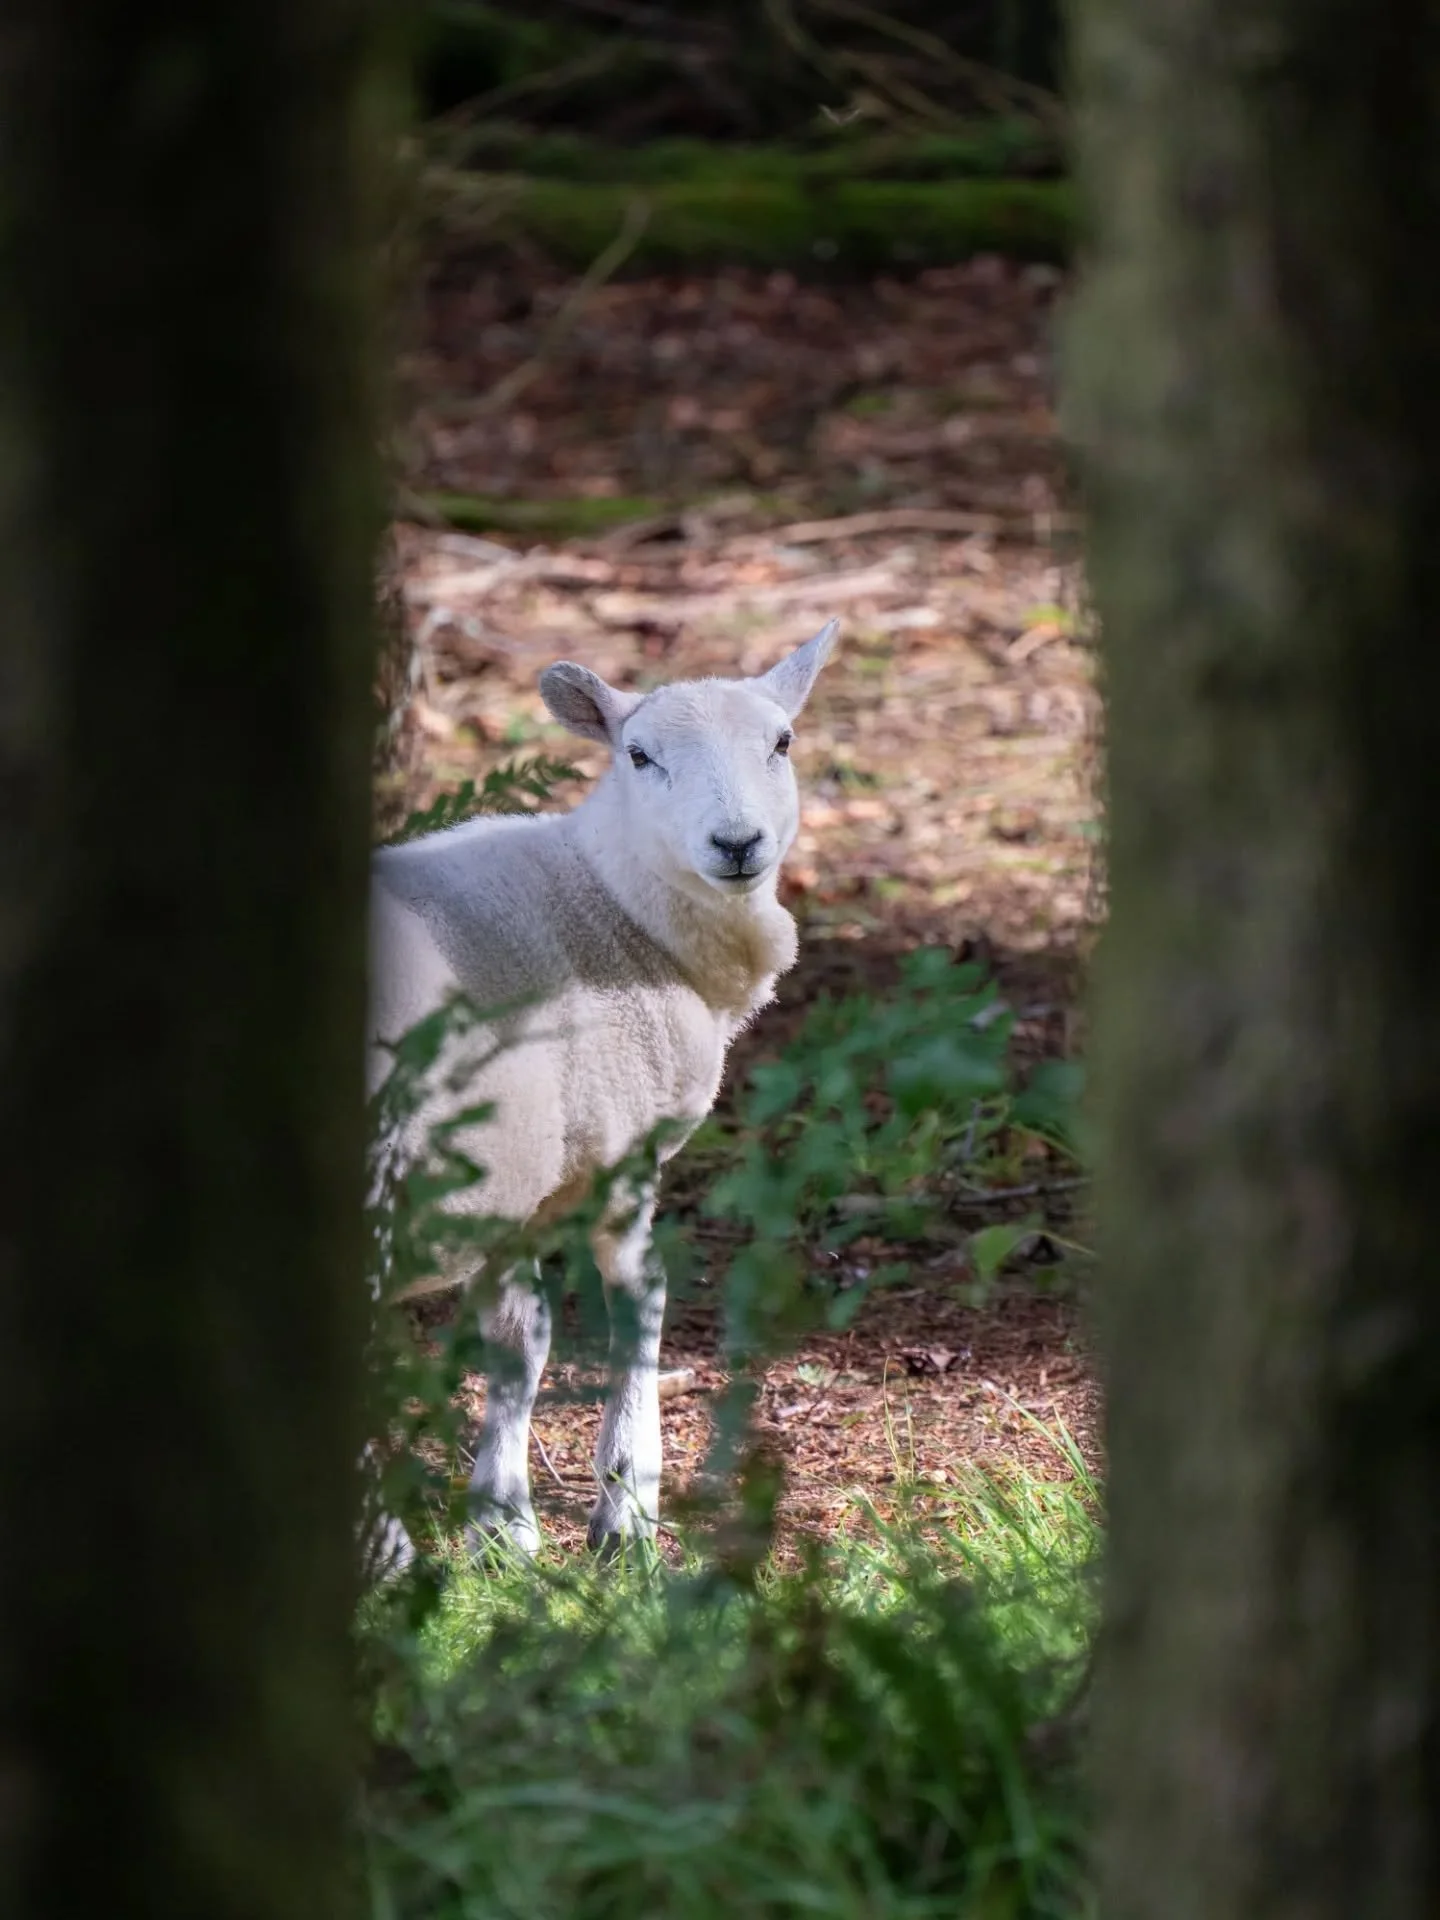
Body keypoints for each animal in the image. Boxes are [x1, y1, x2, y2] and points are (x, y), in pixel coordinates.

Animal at [368, 620, 839, 1557]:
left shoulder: (517, 1166)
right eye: (639, 754)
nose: (737, 844)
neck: (616, 902)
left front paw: (502, 1523)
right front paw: (627, 1504)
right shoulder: (621, 1137)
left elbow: (520, 1339)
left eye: (783, 742)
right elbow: (639, 1298)